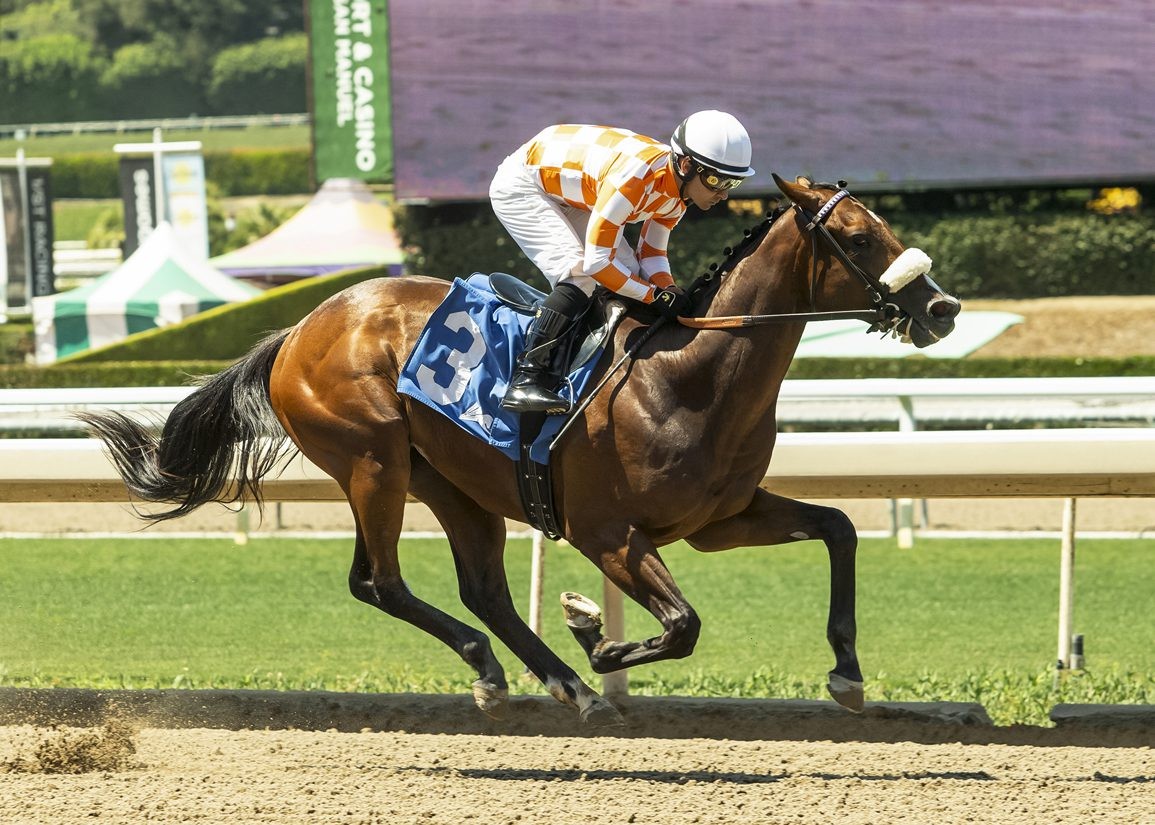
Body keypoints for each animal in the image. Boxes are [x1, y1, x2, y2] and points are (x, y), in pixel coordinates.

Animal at [80, 173, 961, 727]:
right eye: (856, 235)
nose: (942, 307)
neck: (689, 374)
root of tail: (299, 326)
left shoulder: (719, 518)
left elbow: (839, 528)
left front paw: (846, 673)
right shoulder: (608, 534)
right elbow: (682, 625)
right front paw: (597, 635)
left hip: (454, 482)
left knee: (482, 590)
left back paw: (560, 682)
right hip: (373, 463)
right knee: (379, 581)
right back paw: (510, 670)